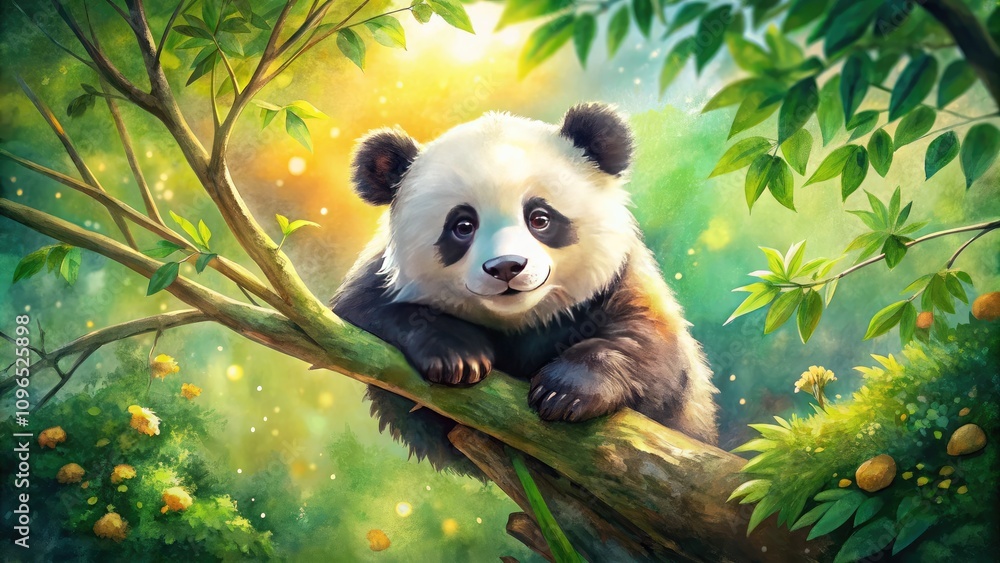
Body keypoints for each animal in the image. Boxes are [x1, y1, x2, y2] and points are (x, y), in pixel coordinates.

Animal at [331, 103, 718, 474]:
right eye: (462, 226)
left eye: (540, 218)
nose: (506, 266)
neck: (520, 319)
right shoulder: (377, 284)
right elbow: (363, 310)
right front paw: (458, 354)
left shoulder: (622, 280)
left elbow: (652, 348)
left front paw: (563, 392)